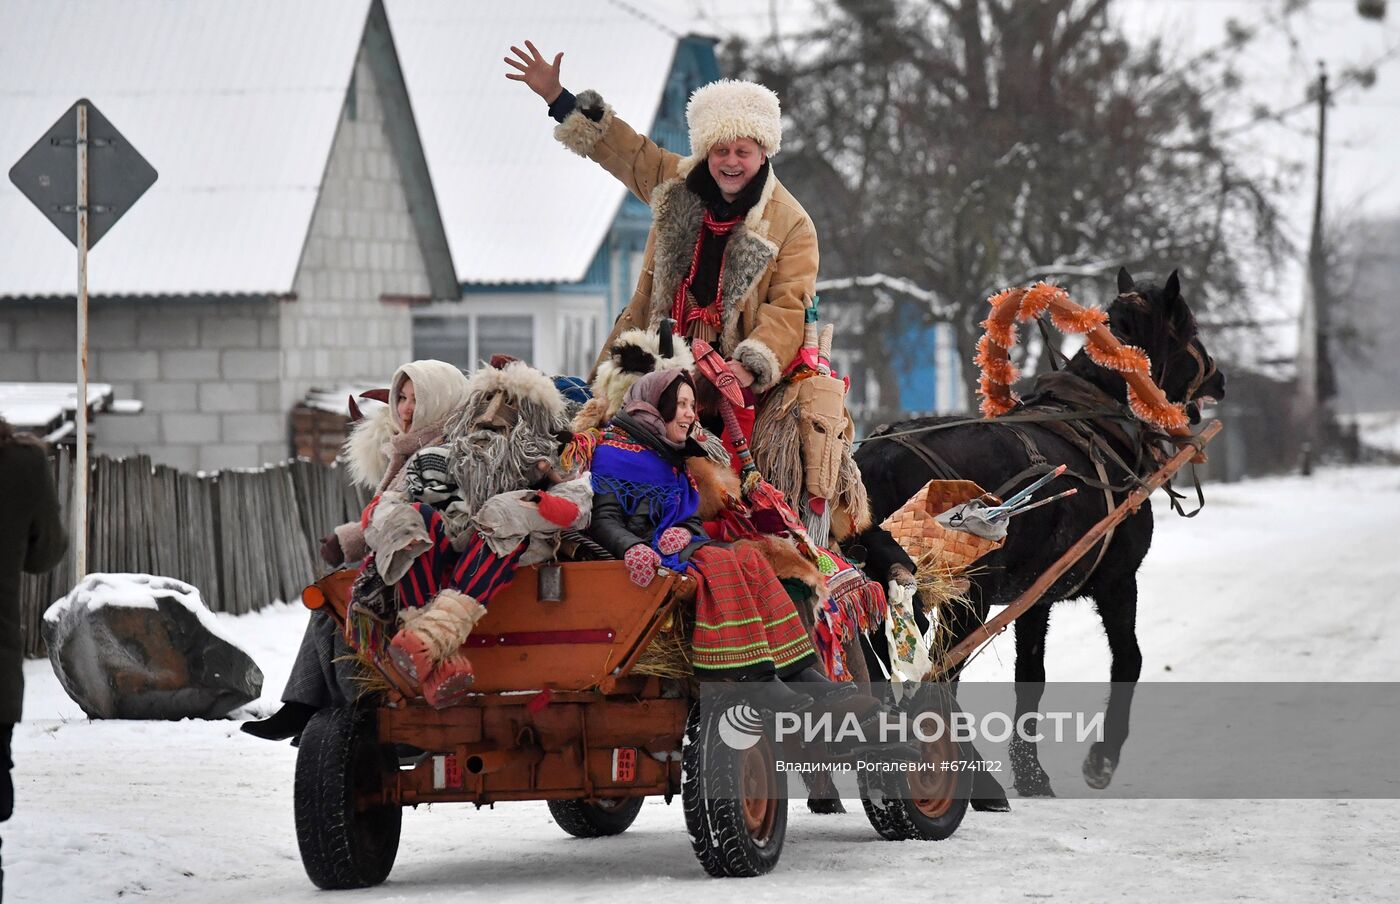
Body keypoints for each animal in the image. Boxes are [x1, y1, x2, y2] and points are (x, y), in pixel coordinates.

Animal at [845, 267, 1220, 800]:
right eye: (1190, 329)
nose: (1221, 378)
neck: (1100, 421)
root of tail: (875, 458)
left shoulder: (1034, 596)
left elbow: (1032, 675)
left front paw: (1029, 771)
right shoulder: (1117, 580)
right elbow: (1129, 660)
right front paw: (1102, 758)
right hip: (965, 596)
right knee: (938, 678)